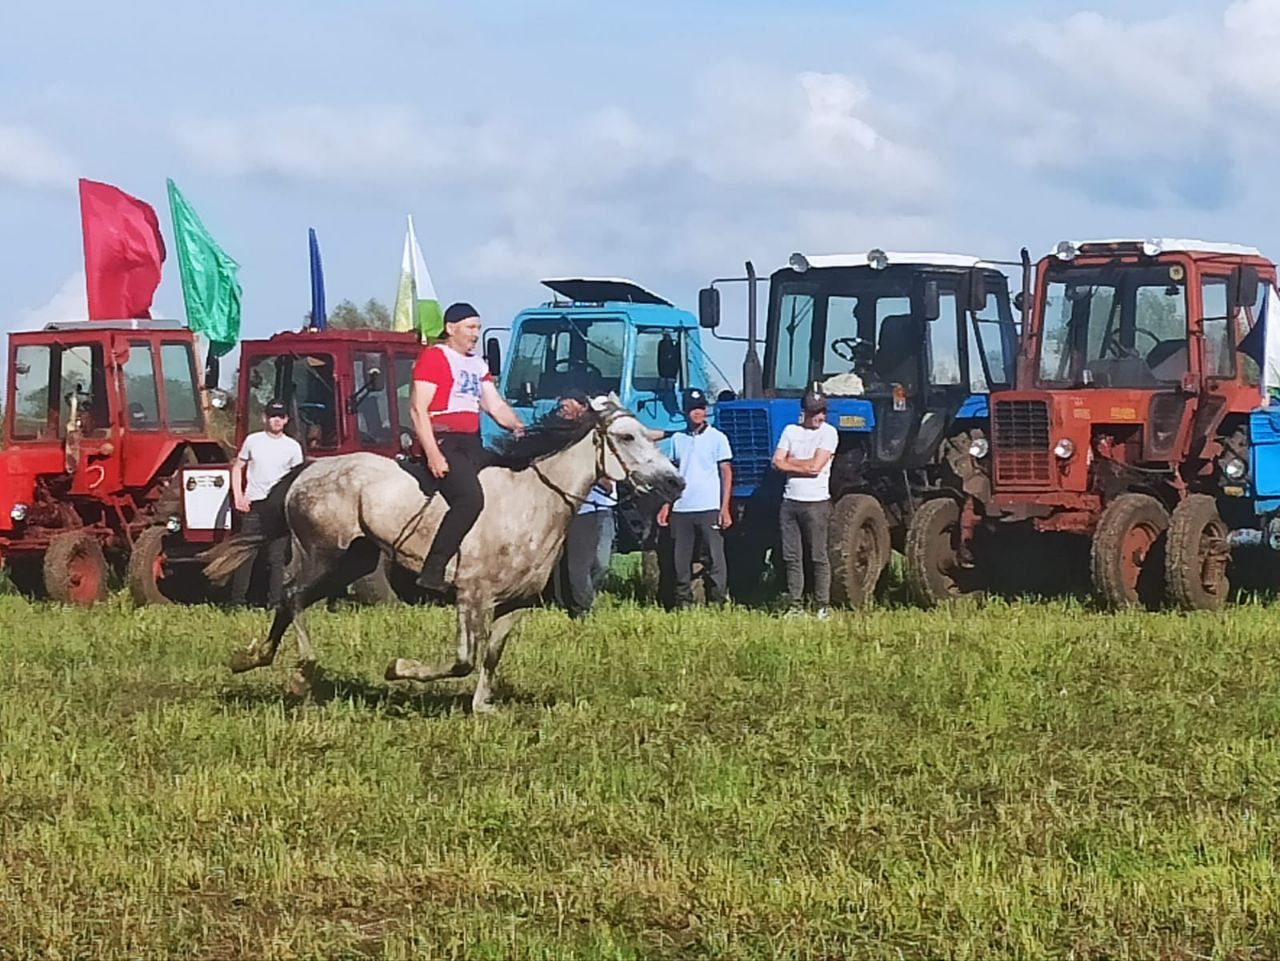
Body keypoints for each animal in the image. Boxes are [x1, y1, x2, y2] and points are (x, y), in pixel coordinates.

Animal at [202, 391, 680, 716]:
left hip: (352, 560)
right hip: (323, 552)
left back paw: (255, 659)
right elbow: (463, 661)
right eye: (626, 436)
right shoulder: (472, 595)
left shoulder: (515, 604)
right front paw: (398, 669)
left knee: (290, 599)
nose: (676, 482)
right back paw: (301, 673)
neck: (531, 500)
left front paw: (483, 707)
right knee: (292, 595)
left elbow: (490, 656)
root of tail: (306, 469)